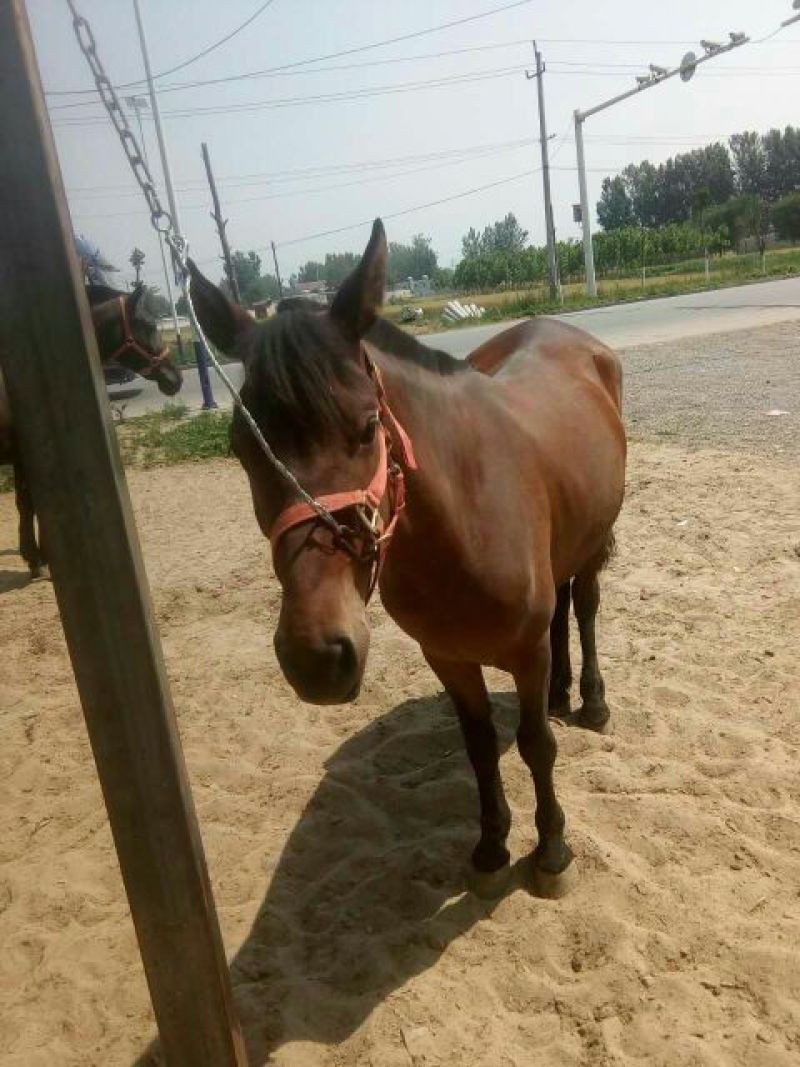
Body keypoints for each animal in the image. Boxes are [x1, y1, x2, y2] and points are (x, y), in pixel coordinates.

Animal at [0, 283, 183, 578]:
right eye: (149, 324)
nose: (176, 379)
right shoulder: (22, 455)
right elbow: (29, 504)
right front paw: (36, 558)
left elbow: (32, 504)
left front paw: (39, 556)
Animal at [188, 219, 626, 898]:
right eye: (240, 446)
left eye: (369, 425)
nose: (317, 655)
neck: (464, 519)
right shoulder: (446, 657)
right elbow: (479, 745)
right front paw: (491, 847)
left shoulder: (524, 651)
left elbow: (536, 745)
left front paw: (551, 851)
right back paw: (559, 693)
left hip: (594, 542)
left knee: (582, 609)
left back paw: (592, 701)